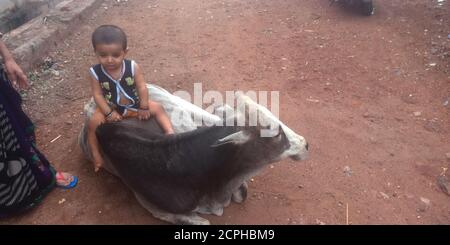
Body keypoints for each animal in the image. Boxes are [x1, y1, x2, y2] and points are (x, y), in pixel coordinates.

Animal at [78, 84, 310, 224]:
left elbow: (242, 193)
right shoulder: (154, 207)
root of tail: (90, 103)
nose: (305, 144)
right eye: (276, 133)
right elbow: (204, 221)